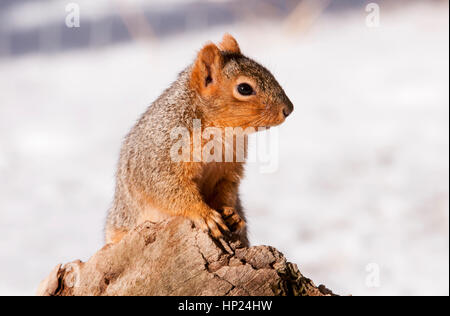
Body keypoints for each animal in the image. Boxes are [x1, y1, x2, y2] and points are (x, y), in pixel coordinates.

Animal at [106, 34, 296, 247]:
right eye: (244, 88)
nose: (289, 109)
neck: (220, 131)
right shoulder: (161, 157)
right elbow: (170, 189)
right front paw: (204, 215)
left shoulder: (228, 167)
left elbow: (226, 189)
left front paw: (231, 214)